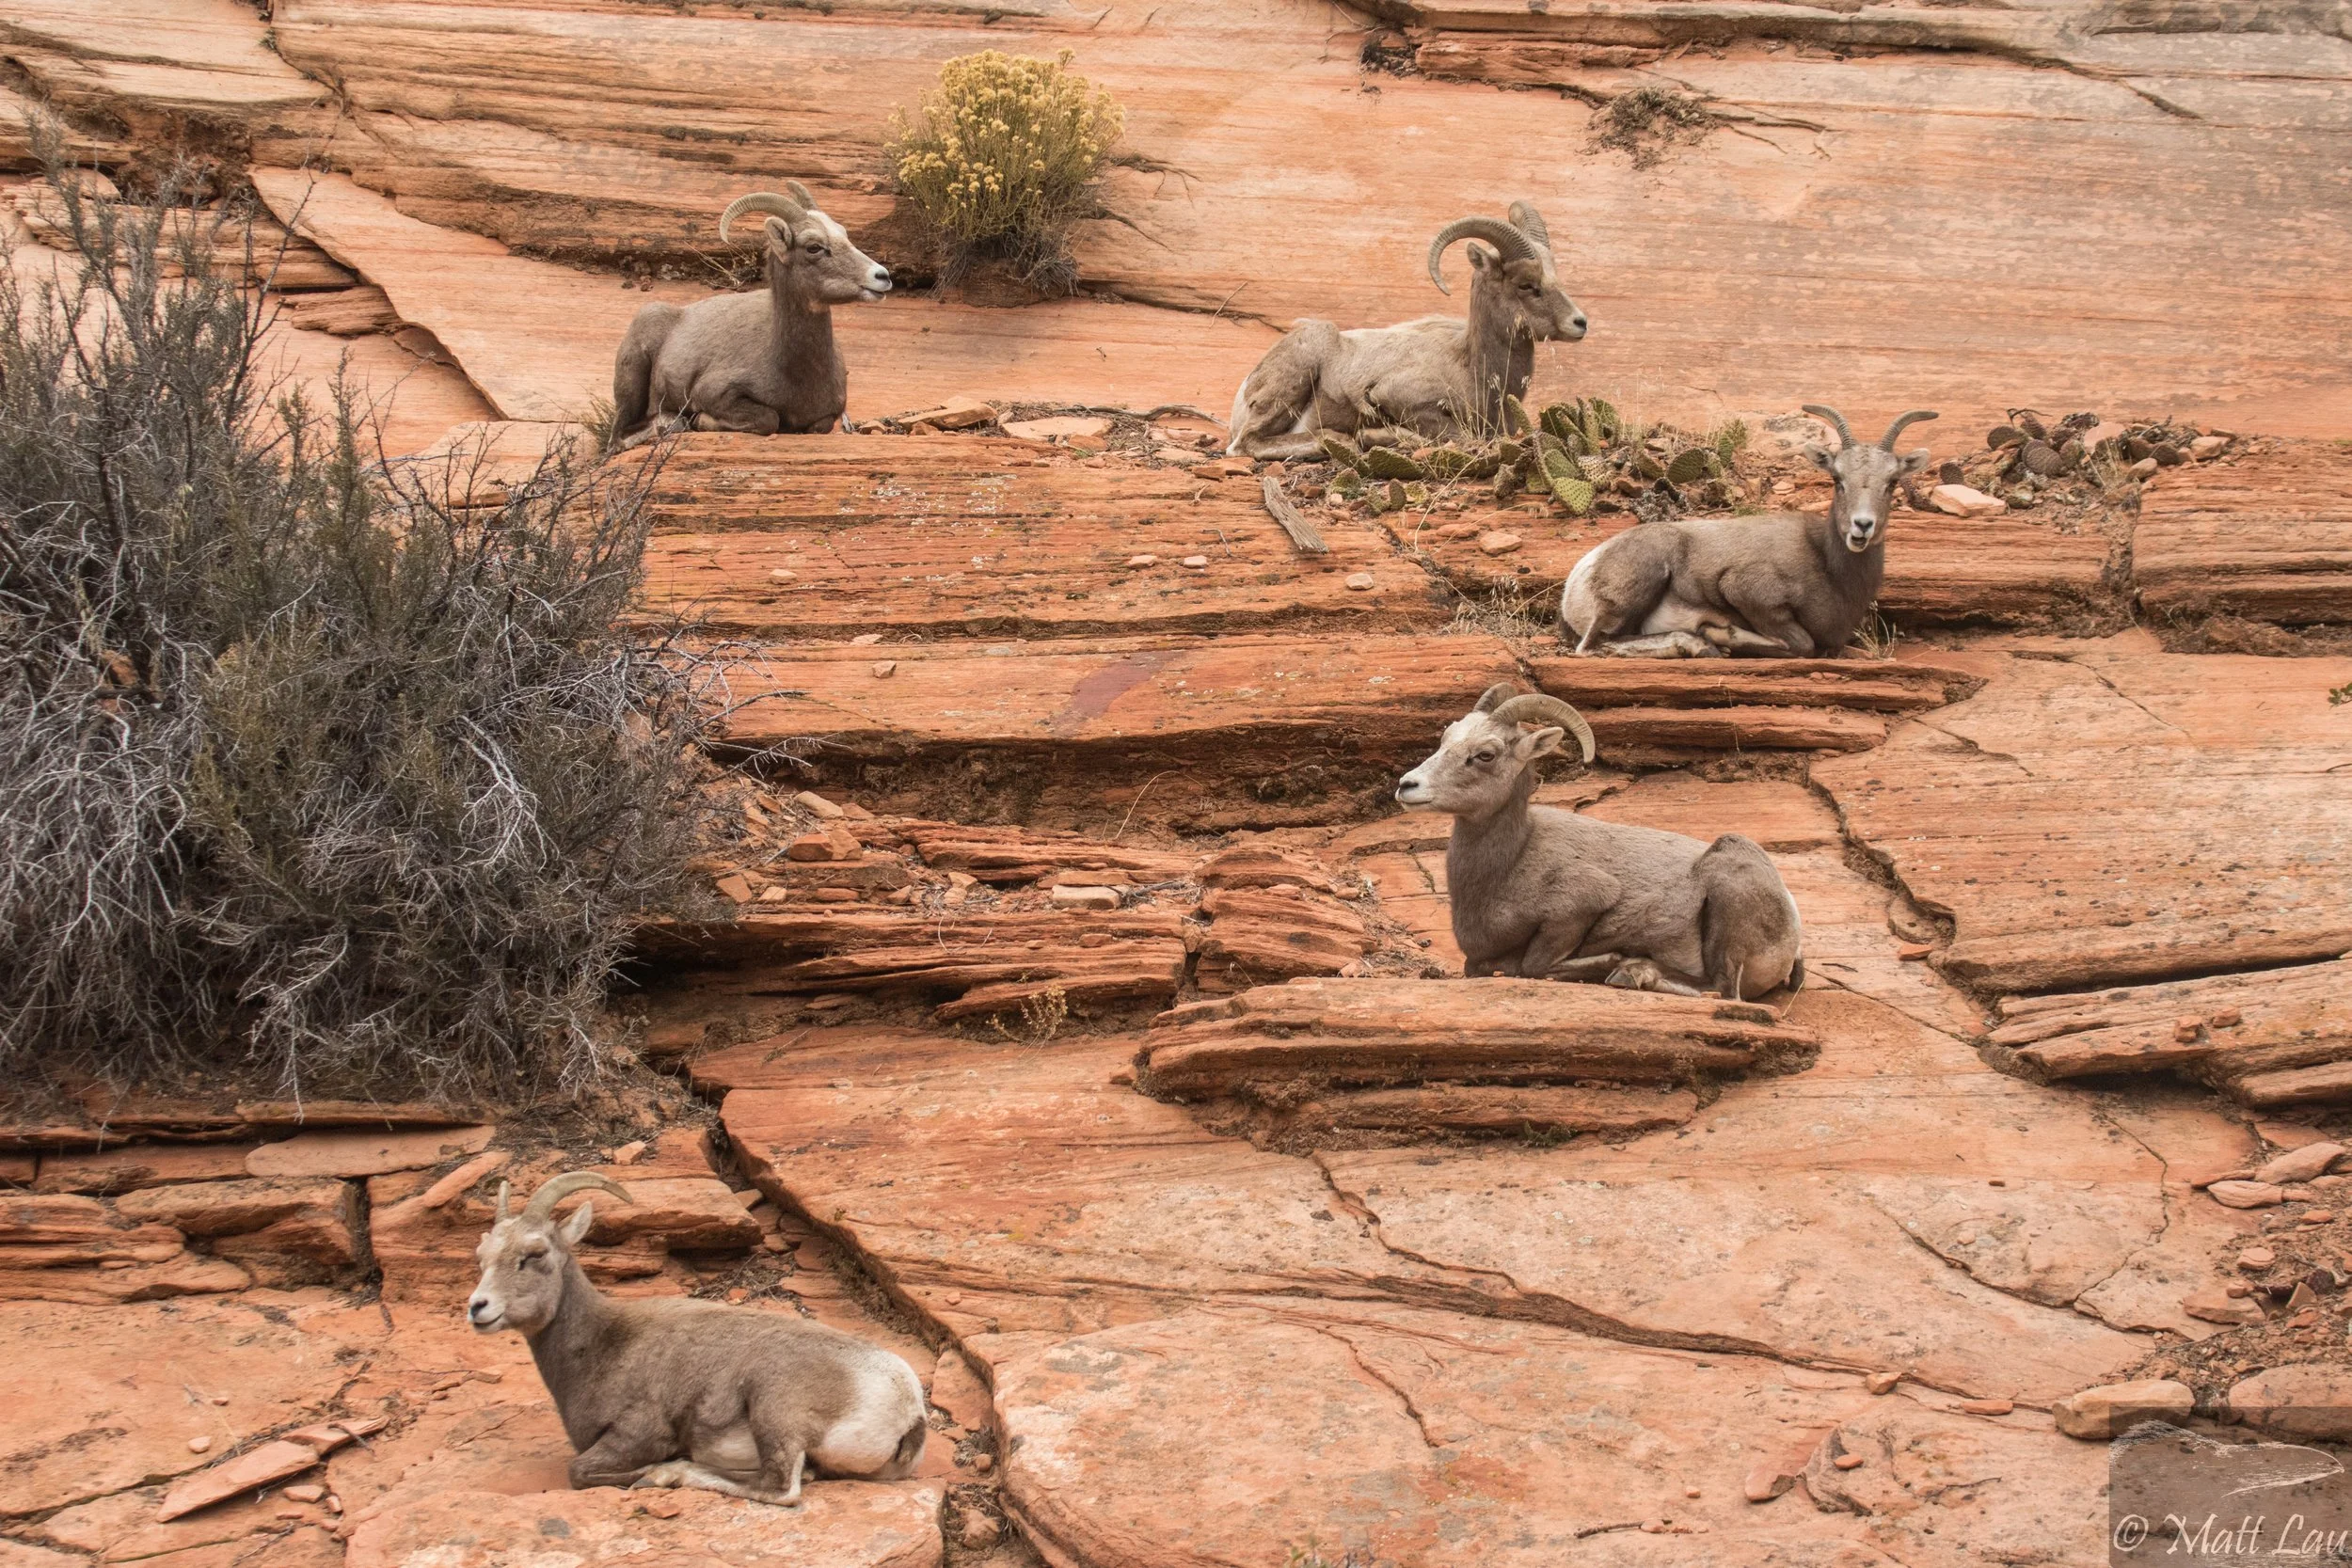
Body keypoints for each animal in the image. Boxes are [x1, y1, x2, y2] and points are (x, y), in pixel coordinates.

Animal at [467, 1172, 926, 1507]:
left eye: (535, 1254)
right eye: (482, 1256)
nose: (478, 1308)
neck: (602, 1344)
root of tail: (908, 1407)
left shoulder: (638, 1435)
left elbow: (580, 1471)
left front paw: (654, 1473)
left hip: (775, 1409)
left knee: (781, 1488)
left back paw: (673, 1473)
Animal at [610, 183, 892, 449]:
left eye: (844, 234)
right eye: (813, 247)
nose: (882, 276)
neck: (793, 373)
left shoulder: (827, 417)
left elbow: (817, 426)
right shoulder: (714, 393)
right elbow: (769, 419)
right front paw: (701, 421)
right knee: (619, 439)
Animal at [1223, 203, 1586, 460]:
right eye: (1526, 284)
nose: (1580, 323)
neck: (1472, 367)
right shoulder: (1398, 398)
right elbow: (1457, 436)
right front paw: (1372, 436)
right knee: (1246, 444)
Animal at [1394, 683, 1804, 1000]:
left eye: (1485, 754)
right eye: (1445, 739)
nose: (1407, 785)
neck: (1509, 865)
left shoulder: (1582, 904)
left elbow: (1532, 965)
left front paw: (1614, 961)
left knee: (1723, 989)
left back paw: (1634, 973)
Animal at [1560, 405, 1939, 658]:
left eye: (1892, 482)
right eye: (1837, 479)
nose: (1862, 526)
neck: (1829, 569)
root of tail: (1579, 578)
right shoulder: (1745, 590)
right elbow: (1803, 644)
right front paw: (1722, 634)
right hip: (1641, 583)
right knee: (1595, 645)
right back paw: (1700, 645)